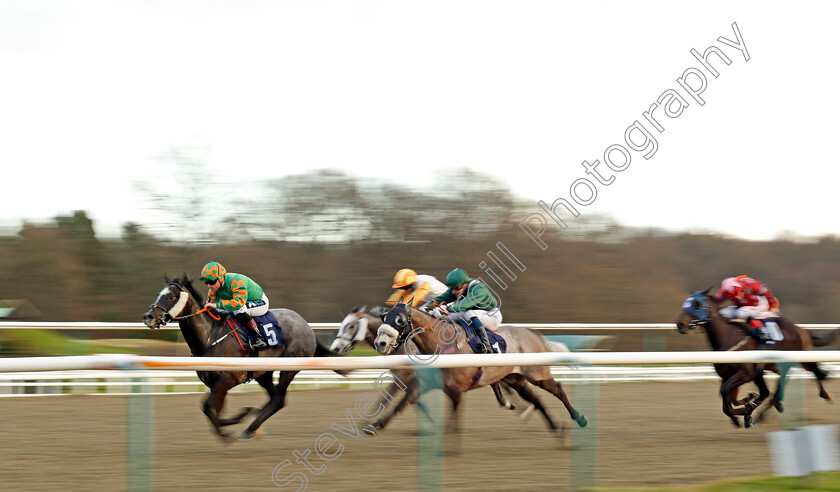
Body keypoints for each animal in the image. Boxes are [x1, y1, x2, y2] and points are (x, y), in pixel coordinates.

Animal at [141, 274, 332, 440]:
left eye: (171, 296)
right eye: (158, 295)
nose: (148, 316)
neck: (209, 337)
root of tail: (306, 325)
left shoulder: (228, 378)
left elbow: (208, 406)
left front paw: (234, 425)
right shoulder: (215, 384)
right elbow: (214, 409)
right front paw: (238, 420)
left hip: (289, 367)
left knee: (279, 398)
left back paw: (250, 429)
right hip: (263, 373)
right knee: (275, 397)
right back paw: (253, 427)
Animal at [370, 300, 588, 438]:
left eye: (399, 319)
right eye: (384, 317)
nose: (380, 343)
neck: (441, 344)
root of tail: (533, 333)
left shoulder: (455, 388)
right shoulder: (424, 384)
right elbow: (402, 404)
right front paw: (375, 425)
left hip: (537, 374)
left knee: (558, 390)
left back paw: (579, 418)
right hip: (516, 379)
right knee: (536, 400)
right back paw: (556, 428)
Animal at [680, 288, 836, 426]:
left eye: (696, 304)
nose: (680, 324)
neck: (728, 337)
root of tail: (799, 329)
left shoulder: (745, 373)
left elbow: (724, 392)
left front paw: (745, 411)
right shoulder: (729, 375)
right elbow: (728, 398)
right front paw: (746, 406)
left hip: (788, 363)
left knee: (782, 389)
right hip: (769, 369)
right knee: (768, 392)